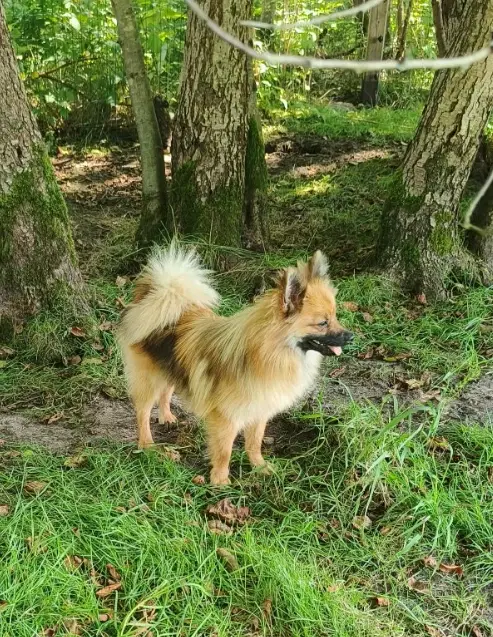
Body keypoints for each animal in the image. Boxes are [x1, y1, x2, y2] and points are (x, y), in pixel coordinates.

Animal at [117, 242, 352, 482]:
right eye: (322, 323)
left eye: (335, 316)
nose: (350, 336)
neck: (270, 353)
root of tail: (157, 294)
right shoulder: (227, 417)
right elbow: (224, 451)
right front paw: (220, 480)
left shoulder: (259, 409)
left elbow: (254, 443)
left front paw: (259, 466)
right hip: (148, 378)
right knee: (143, 412)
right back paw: (147, 444)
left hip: (170, 367)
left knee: (166, 391)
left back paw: (166, 416)